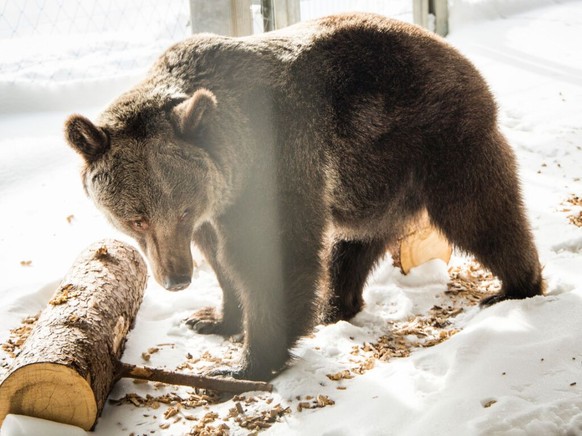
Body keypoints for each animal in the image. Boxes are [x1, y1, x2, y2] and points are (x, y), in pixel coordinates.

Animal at [66, 12, 544, 382]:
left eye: (179, 210)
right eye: (136, 218)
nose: (176, 279)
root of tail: (463, 59)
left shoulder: (276, 166)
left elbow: (273, 255)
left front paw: (246, 364)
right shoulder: (216, 203)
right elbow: (221, 260)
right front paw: (212, 318)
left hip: (437, 139)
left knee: (480, 213)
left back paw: (514, 287)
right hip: (373, 178)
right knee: (353, 243)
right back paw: (334, 305)